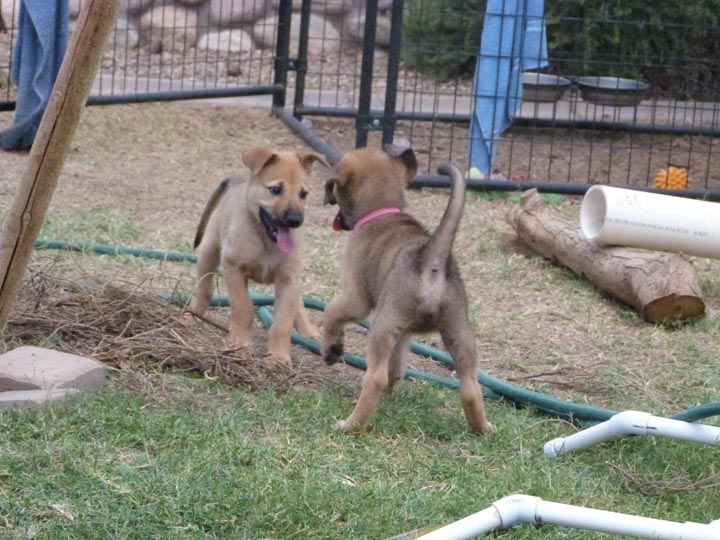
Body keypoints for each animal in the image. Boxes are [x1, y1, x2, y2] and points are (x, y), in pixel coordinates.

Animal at [188, 149, 330, 362]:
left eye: (303, 194)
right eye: (276, 190)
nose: (295, 220)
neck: (267, 242)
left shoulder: (289, 279)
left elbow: (282, 323)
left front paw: (278, 357)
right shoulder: (233, 267)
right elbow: (243, 308)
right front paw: (239, 344)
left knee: (298, 304)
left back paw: (308, 330)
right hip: (208, 253)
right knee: (204, 290)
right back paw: (190, 314)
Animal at [324, 147, 492, 434]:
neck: (382, 210)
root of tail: (431, 260)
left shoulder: (356, 297)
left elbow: (330, 312)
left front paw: (331, 348)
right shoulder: (402, 332)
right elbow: (397, 363)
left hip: (381, 327)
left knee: (375, 377)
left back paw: (351, 424)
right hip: (458, 330)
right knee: (470, 386)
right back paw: (482, 428)